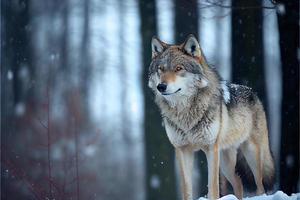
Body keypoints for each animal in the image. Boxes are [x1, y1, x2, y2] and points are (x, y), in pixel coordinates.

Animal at [148, 34, 274, 200]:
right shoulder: (182, 150)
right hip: (226, 161)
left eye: (179, 68)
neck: (185, 112)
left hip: (251, 154)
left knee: (260, 186)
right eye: (160, 69)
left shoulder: (210, 148)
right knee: (238, 182)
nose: (161, 87)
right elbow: (186, 189)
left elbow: (213, 187)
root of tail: (252, 91)